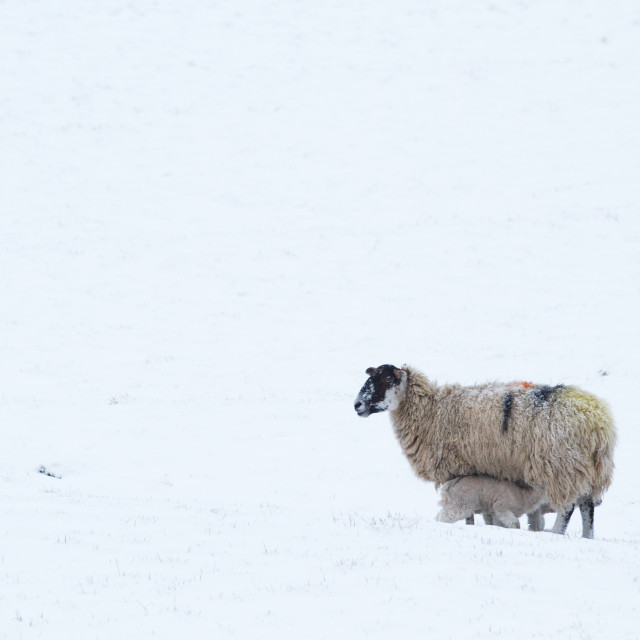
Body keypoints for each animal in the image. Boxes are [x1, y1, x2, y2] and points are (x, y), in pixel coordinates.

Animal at [356, 362, 616, 536]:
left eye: (386, 380)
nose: (357, 405)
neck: (432, 410)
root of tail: (599, 421)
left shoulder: (457, 470)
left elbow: (466, 508)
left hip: (562, 465)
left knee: (568, 506)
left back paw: (556, 533)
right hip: (585, 468)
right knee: (587, 507)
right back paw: (587, 537)